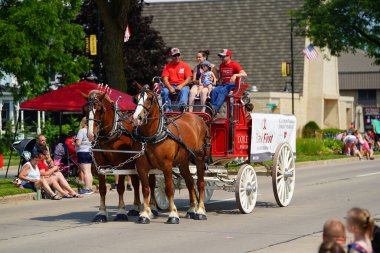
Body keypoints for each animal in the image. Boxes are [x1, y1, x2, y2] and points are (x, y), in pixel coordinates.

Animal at [81, 90, 157, 222]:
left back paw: (152, 208)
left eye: (99, 109)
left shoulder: (120, 163)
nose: (91, 135)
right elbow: (102, 189)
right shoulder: (100, 164)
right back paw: (135, 207)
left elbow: (120, 187)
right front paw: (101, 212)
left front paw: (121, 212)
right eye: (85, 109)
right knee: (136, 183)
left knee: (151, 183)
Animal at [132, 86, 211, 224]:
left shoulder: (167, 166)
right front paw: (144, 214)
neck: (152, 136)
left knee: (200, 183)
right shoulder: (141, 167)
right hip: (183, 162)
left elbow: (169, 189)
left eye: (150, 98)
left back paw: (201, 211)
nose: (137, 118)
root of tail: (199, 119)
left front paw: (173, 214)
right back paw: (191, 209)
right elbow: (146, 189)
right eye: (135, 99)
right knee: (190, 182)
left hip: (200, 159)